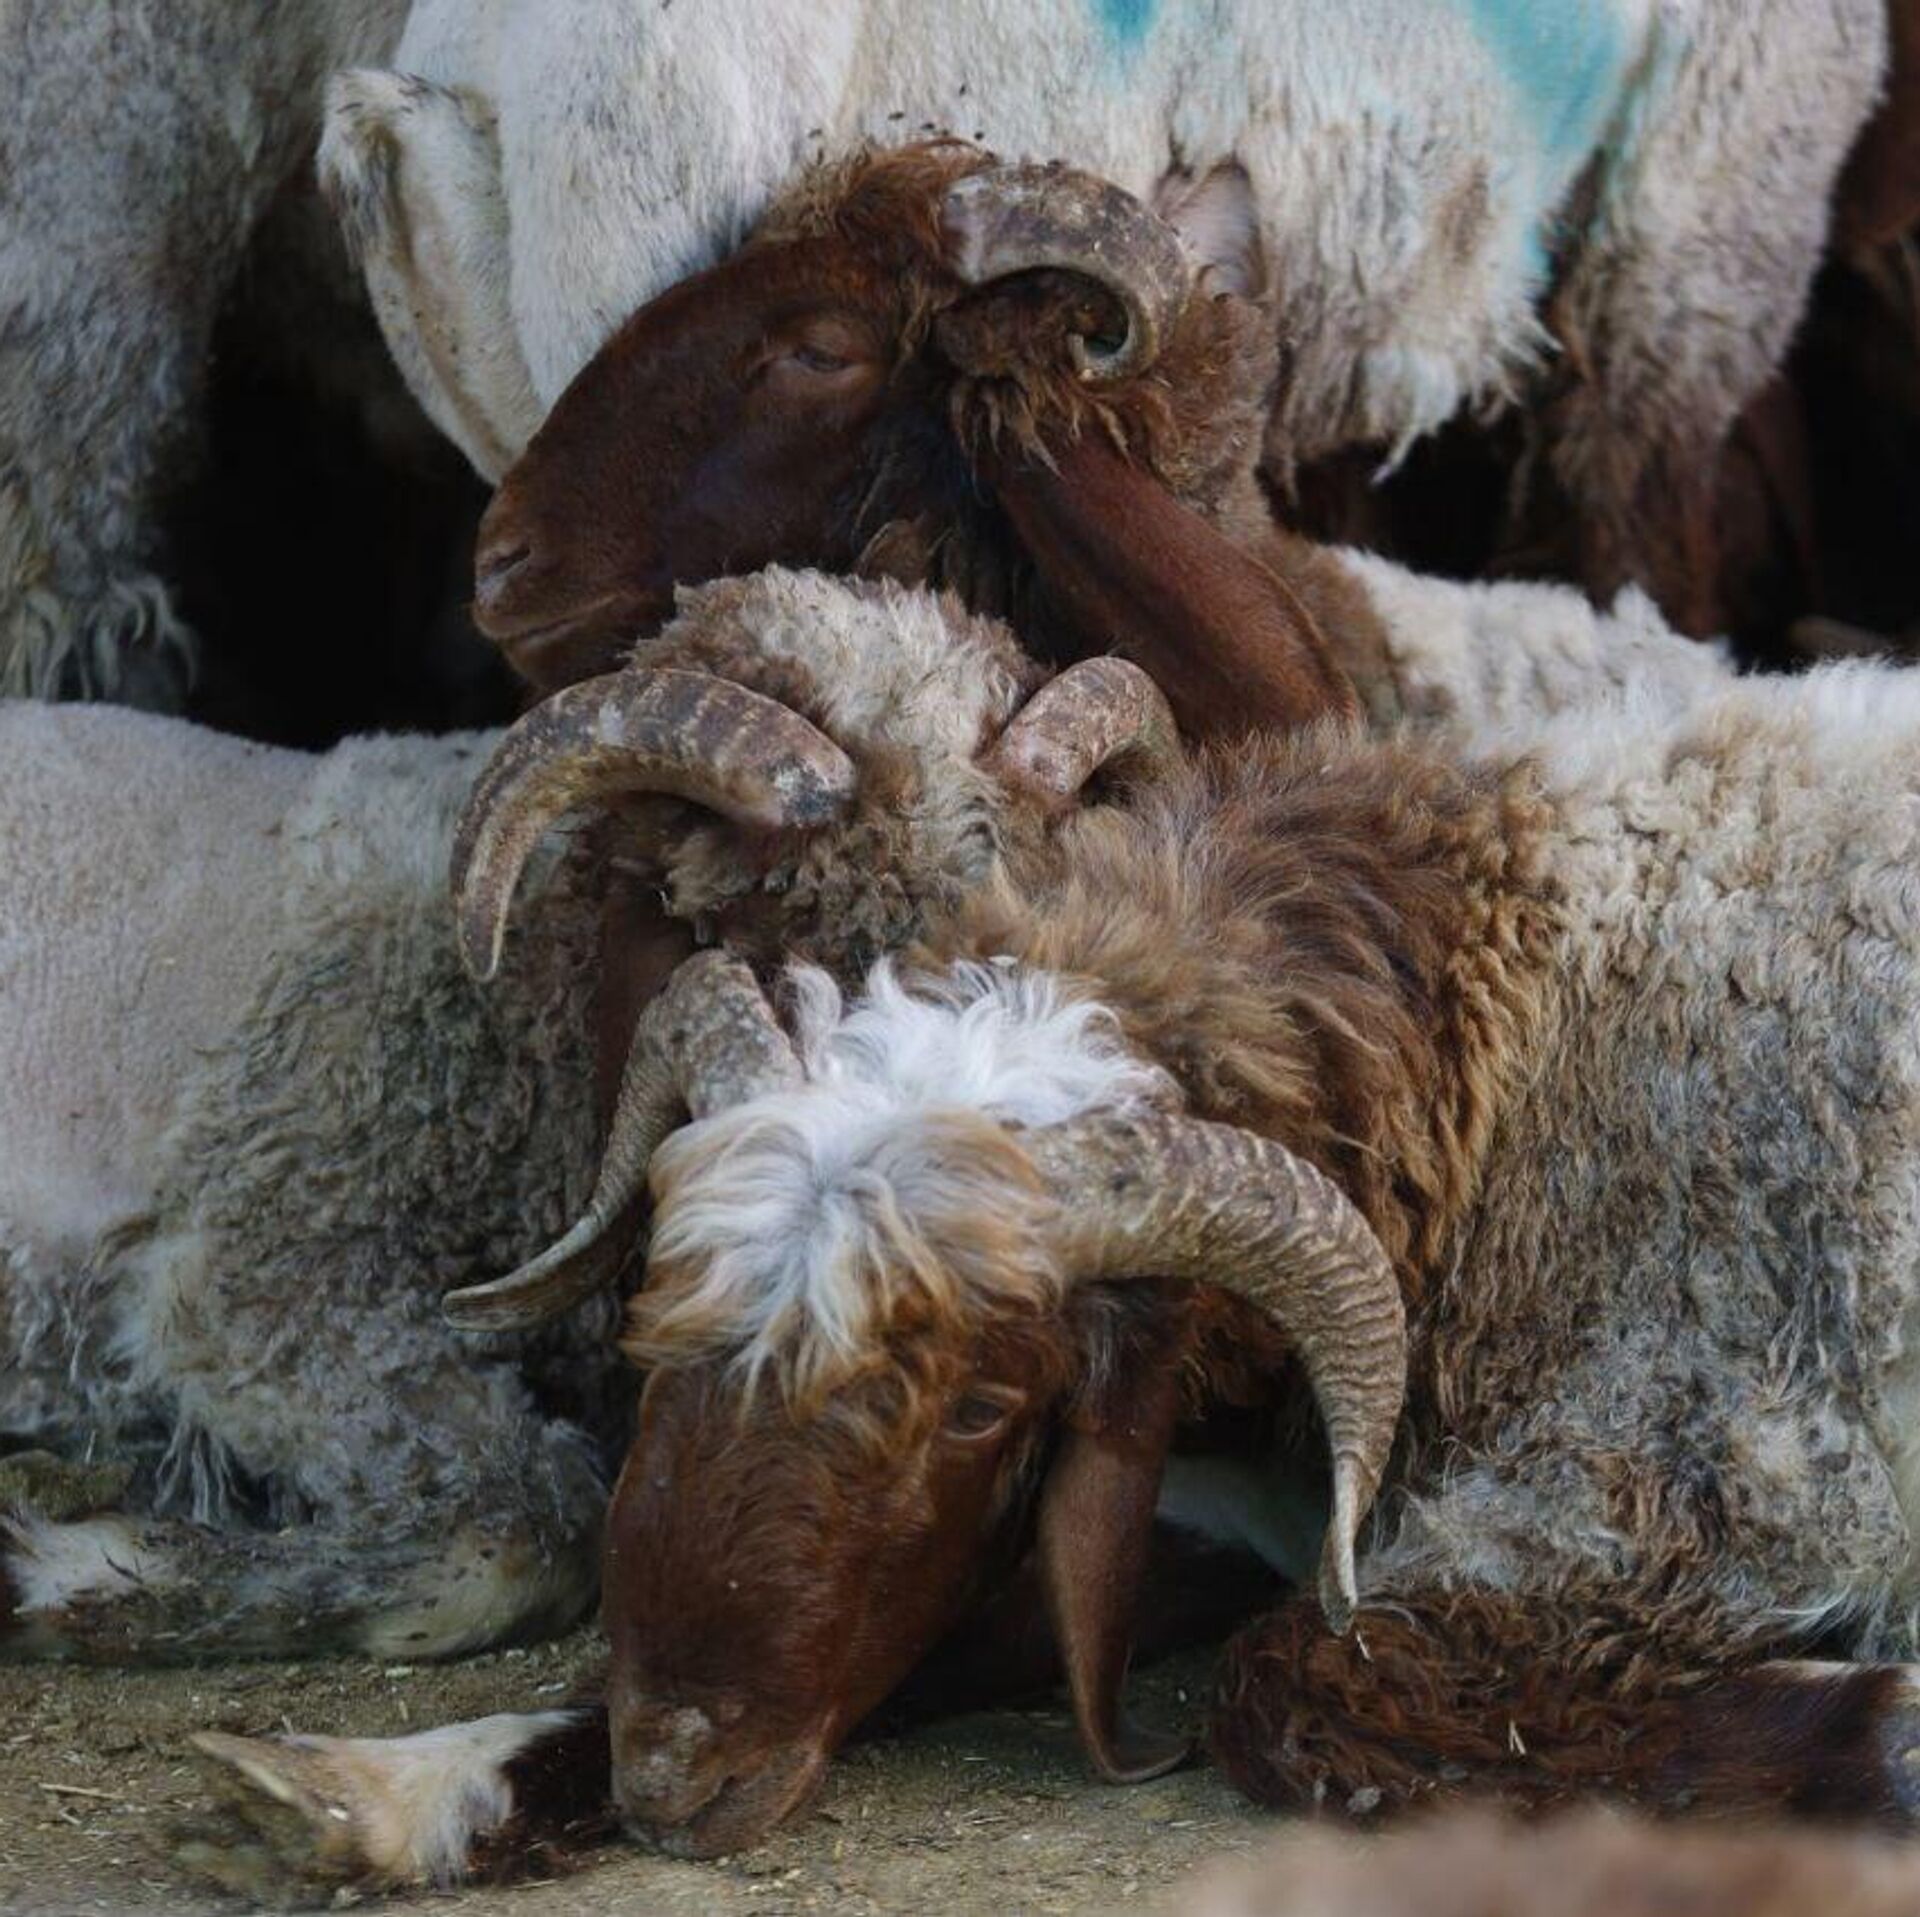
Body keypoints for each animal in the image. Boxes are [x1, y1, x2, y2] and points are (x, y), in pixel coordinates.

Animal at [183, 601, 1920, 1878]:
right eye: (655, 1337)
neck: (1504, 1023)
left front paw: (1883, 1723)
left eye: (980, 1407)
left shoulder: (1678, 1477)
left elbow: (1301, 1683)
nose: (676, 1787)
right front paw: (380, 1783)